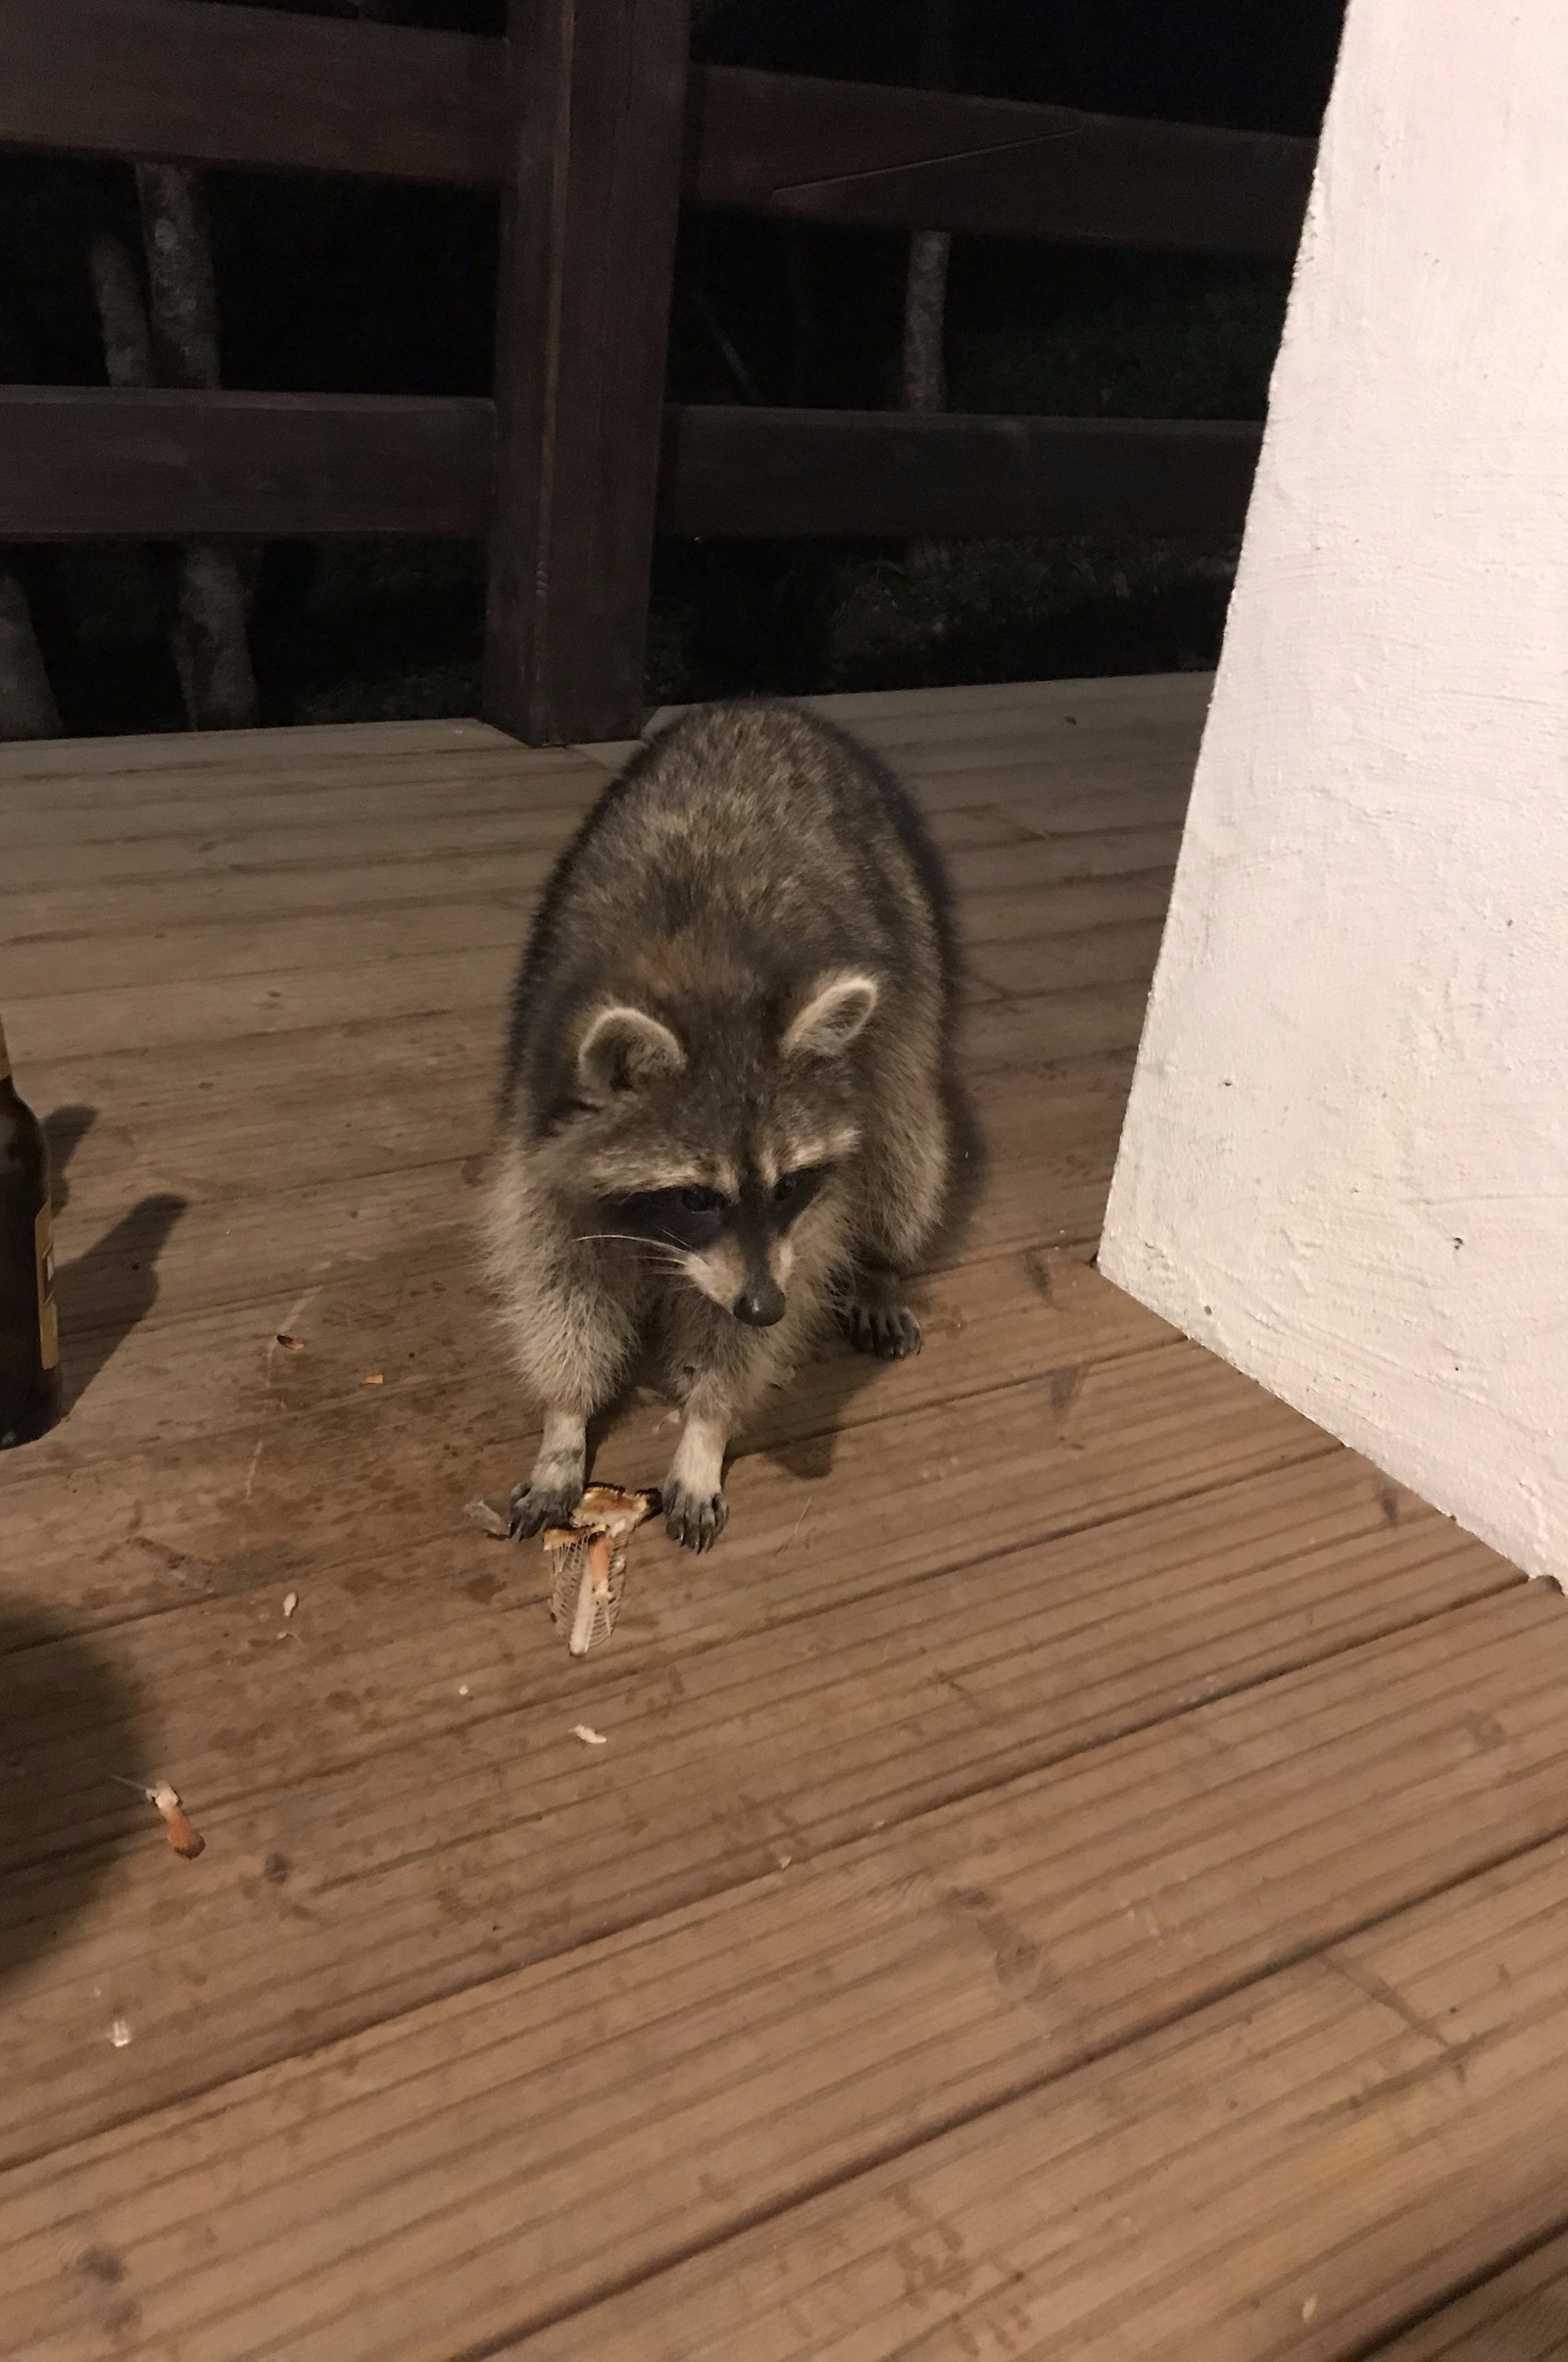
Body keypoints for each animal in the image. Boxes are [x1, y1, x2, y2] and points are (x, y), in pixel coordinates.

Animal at [483, 699, 954, 1549]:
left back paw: (881, 1263)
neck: (705, 975)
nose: (765, 1306)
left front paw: (705, 1427)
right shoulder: (544, 1124)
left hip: (908, 969)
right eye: (697, 1197)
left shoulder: (799, 1224)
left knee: (907, 1150)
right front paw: (564, 1421)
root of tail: (762, 707)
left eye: (791, 1184)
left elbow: (748, 1324)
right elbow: (560, 1282)